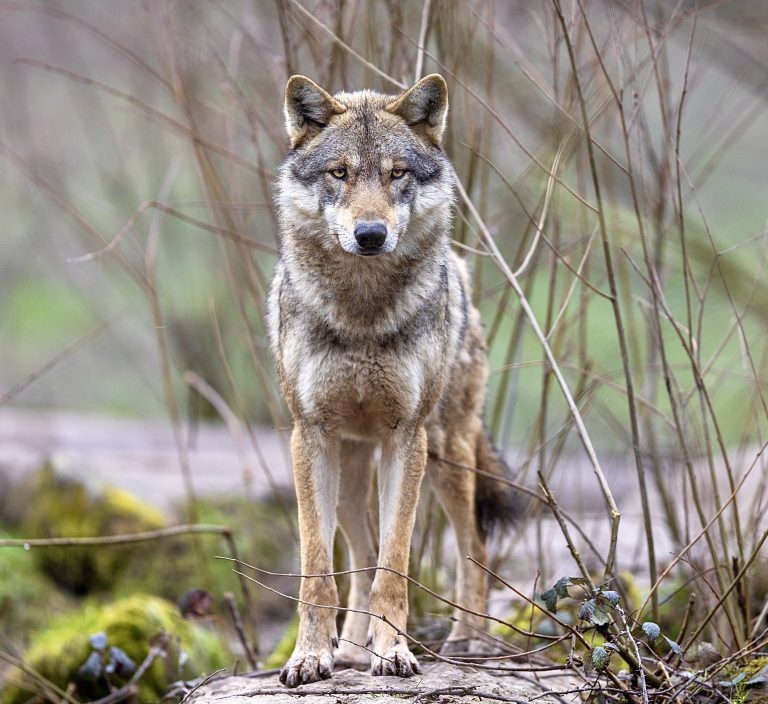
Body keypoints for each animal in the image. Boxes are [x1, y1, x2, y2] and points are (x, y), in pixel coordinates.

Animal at [267, 73, 517, 688]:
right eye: (340, 174)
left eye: (397, 173)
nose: (371, 234)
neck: (362, 315)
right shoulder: (309, 436)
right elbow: (318, 568)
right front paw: (310, 657)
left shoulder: (408, 437)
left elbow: (395, 563)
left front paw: (395, 652)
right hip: (351, 471)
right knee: (359, 553)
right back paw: (352, 650)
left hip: (448, 456)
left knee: (472, 544)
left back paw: (468, 640)